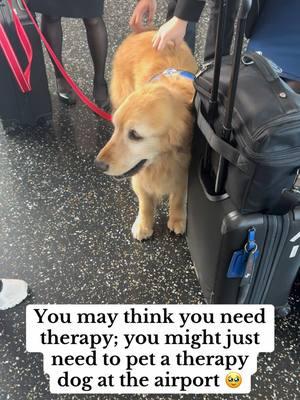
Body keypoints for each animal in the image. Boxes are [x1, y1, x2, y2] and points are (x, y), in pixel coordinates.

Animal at [95, 32, 197, 241]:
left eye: (134, 134)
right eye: (116, 127)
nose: (98, 165)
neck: (163, 161)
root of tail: (140, 32)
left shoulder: (184, 170)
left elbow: (179, 196)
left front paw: (177, 218)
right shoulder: (140, 175)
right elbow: (145, 202)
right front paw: (143, 224)